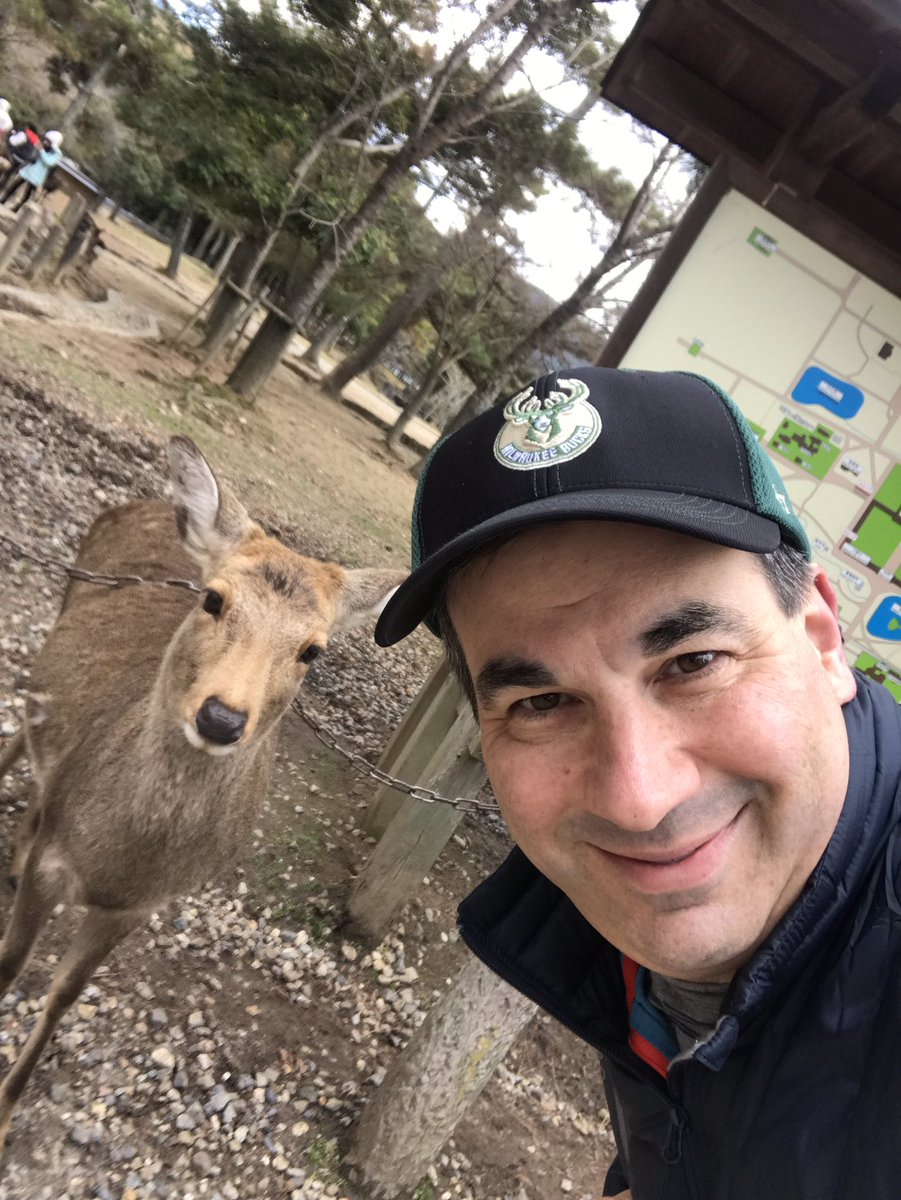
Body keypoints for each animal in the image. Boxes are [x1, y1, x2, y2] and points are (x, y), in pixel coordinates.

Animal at [0, 435, 405, 1155]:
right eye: (214, 599)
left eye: (313, 649)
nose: (221, 717)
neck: (116, 856)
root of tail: (147, 503)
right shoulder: (57, 865)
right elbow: (11, 963)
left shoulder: (138, 907)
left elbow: (64, 994)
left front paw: (6, 1111)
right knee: (21, 729)